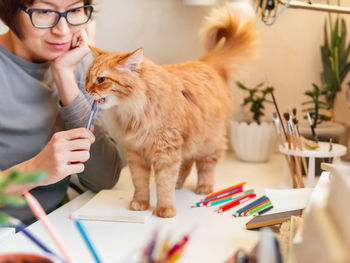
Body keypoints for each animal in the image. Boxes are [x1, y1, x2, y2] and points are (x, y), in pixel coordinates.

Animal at [83, 7, 256, 219]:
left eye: (101, 79)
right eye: (87, 78)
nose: (87, 90)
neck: (134, 109)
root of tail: (208, 64)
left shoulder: (166, 151)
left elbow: (164, 183)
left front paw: (165, 210)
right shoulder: (136, 152)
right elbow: (140, 183)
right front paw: (140, 203)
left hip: (210, 142)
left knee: (205, 166)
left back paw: (204, 187)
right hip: (188, 144)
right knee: (186, 164)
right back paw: (179, 184)